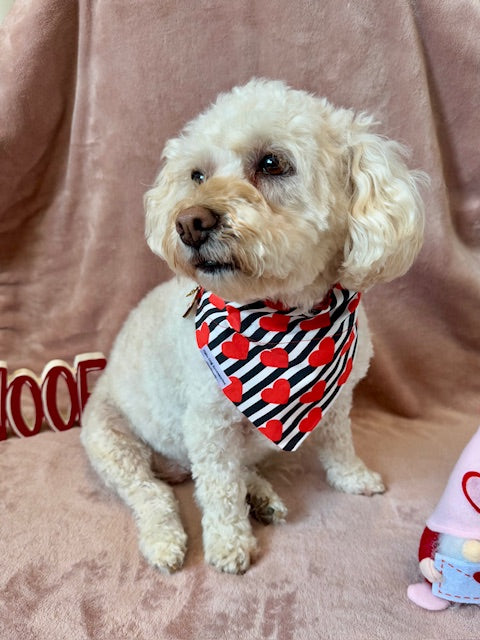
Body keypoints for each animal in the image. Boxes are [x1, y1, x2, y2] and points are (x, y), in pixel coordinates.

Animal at [80, 77, 426, 572]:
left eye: (271, 162)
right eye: (197, 175)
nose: (189, 222)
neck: (287, 315)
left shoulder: (339, 401)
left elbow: (339, 442)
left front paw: (353, 477)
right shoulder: (210, 426)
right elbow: (219, 490)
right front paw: (229, 543)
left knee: (235, 472)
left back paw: (262, 497)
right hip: (111, 441)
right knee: (152, 493)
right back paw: (166, 537)